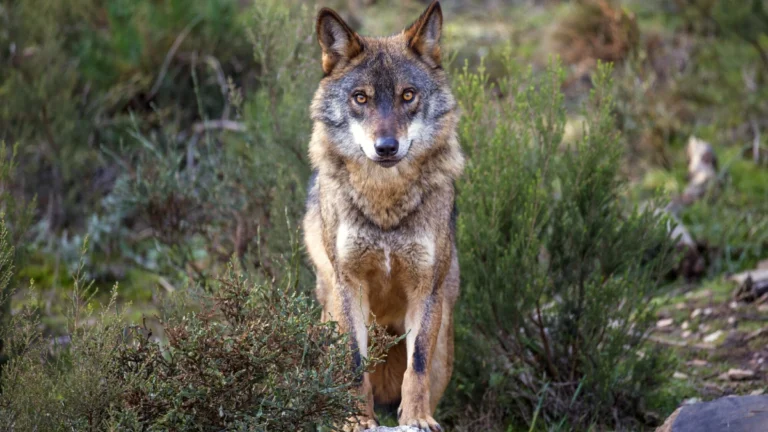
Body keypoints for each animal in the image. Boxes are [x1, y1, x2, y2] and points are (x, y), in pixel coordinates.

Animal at [302, 1, 464, 430]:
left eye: (408, 95)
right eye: (361, 98)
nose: (387, 147)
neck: (385, 202)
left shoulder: (426, 288)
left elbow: (416, 365)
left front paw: (418, 417)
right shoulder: (349, 286)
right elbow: (355, 364)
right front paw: (358, 420)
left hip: (445, 340)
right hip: (325, 322)